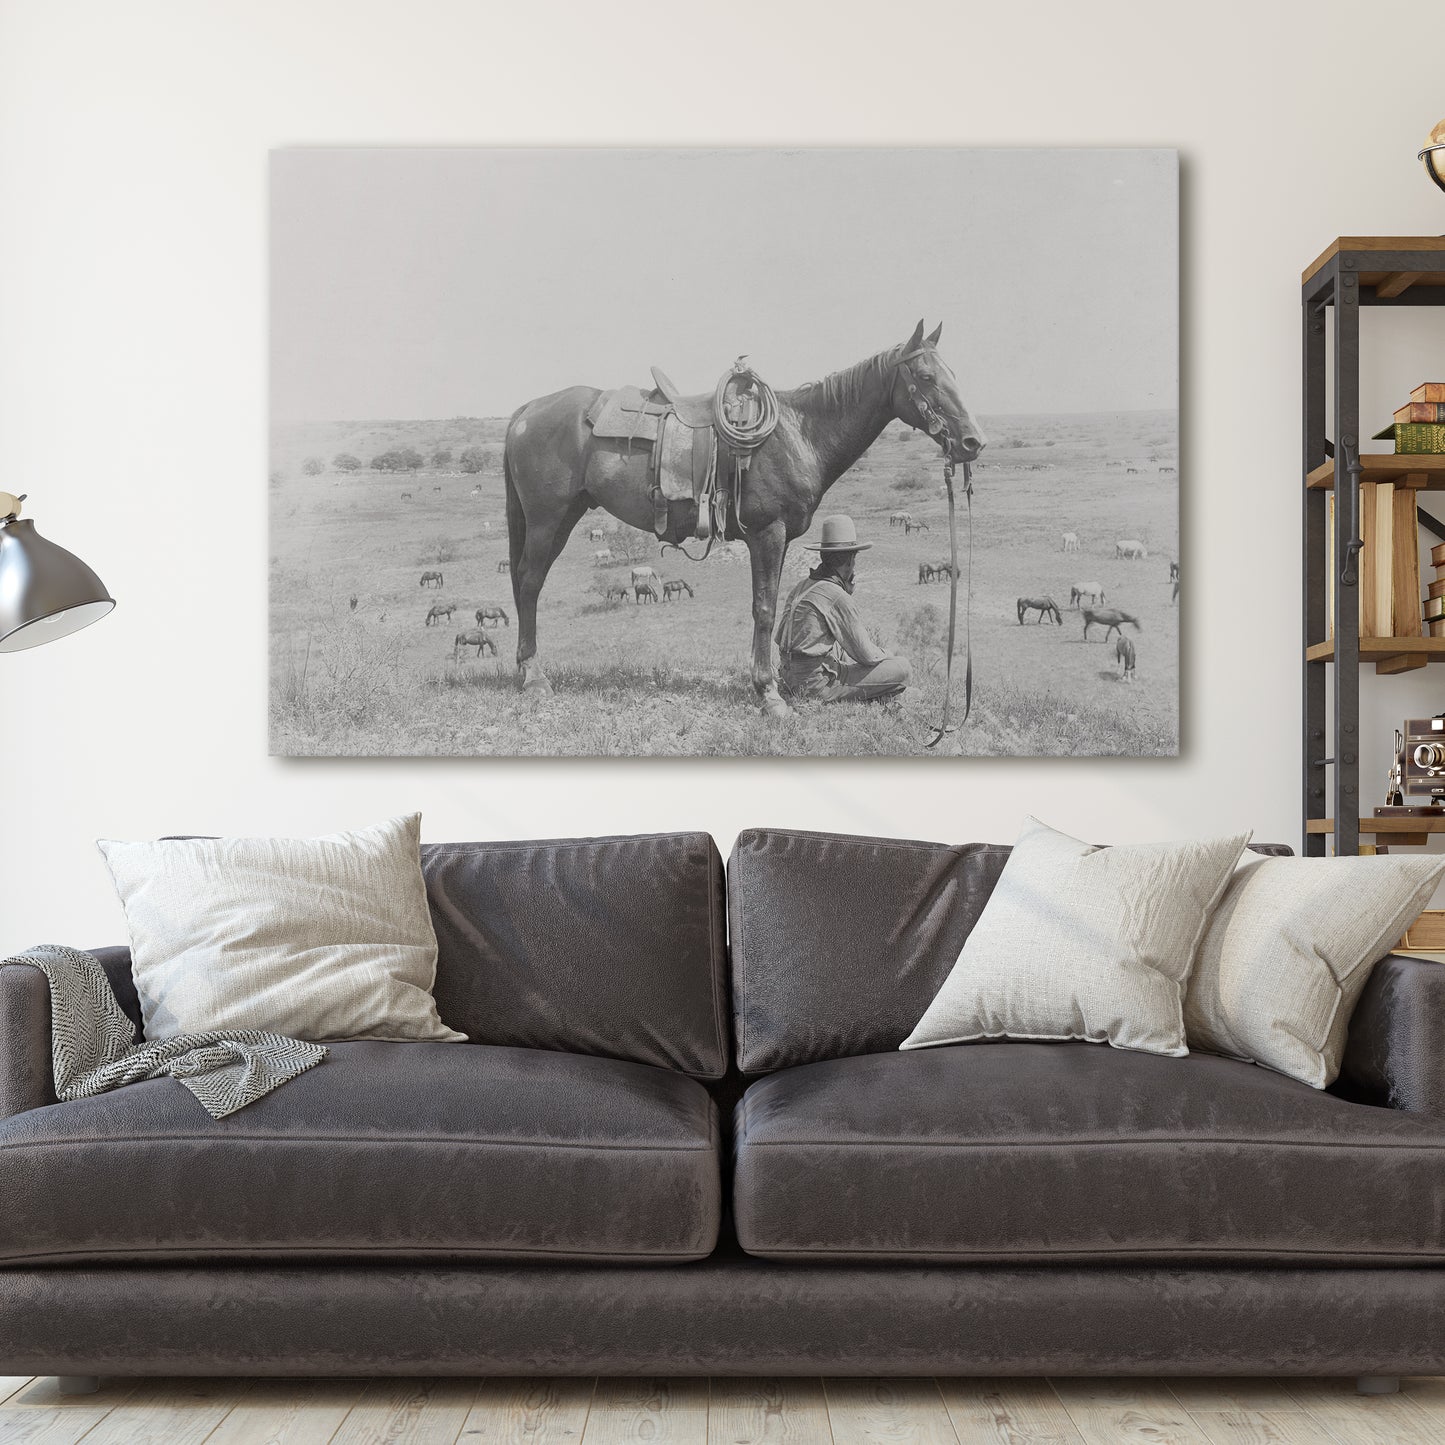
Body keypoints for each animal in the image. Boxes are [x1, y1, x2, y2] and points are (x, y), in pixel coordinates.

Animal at [502, 322, 988, 716]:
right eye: (925, 377)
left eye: (953, 375)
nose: (972, 441)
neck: (799, 433)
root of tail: (526, 411)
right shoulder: (767, 534)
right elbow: (764, 609)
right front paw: (768, 694)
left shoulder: (781, 537)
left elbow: (771, 605)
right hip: (547, 520)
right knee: (529, 583)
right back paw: (535, 678)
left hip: (564, 517)